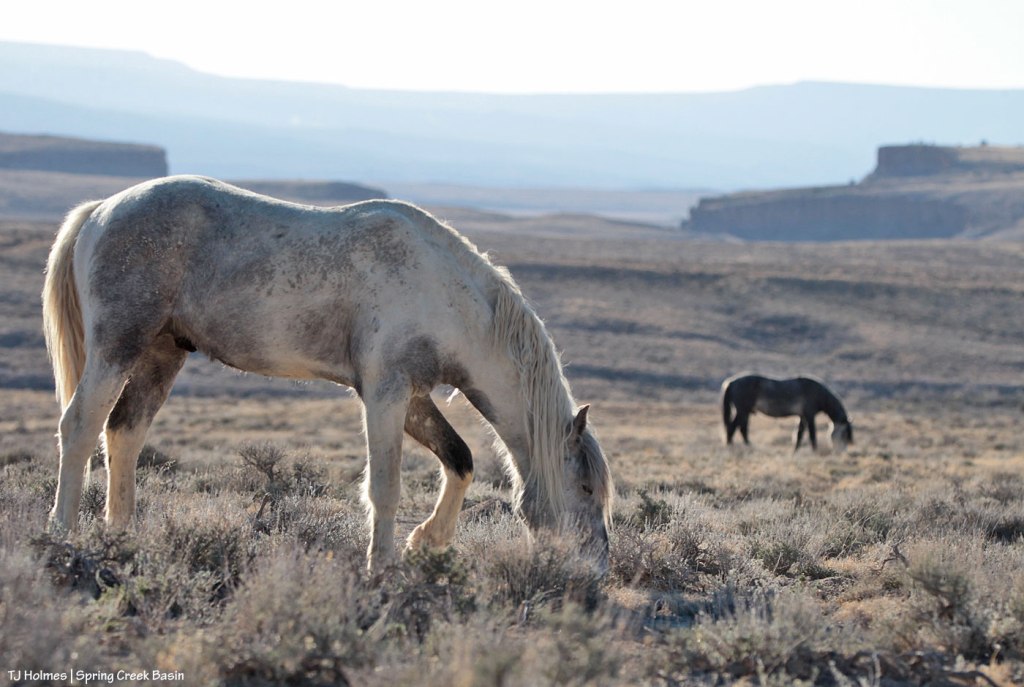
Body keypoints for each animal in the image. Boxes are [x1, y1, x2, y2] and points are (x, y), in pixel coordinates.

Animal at [42, 175, 613, 574]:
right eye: (586, 488)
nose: (597, 571)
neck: (446, 293)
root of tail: (100, 211)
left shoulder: (412, 396)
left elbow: (461, 460)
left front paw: (426, 542)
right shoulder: (384, 393)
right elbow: (384, 486)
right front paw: (382, 567)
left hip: (162, 354)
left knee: (124, 432)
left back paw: (121, 536)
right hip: (117, 347)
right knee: (81, 428)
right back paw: (62, 535)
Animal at [720, 374, 853, 452]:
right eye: (844, 434)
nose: (841, 451)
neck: (818, 393)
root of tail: (731, 382)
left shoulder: (802, 416)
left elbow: (799, 434)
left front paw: (795, 451)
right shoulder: (810, 416)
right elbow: (812, 434)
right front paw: (814, 450)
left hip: (745, 412)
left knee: (740, 428)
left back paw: (747, 446)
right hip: (742, 411)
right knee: (733, 427)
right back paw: (732, 446)